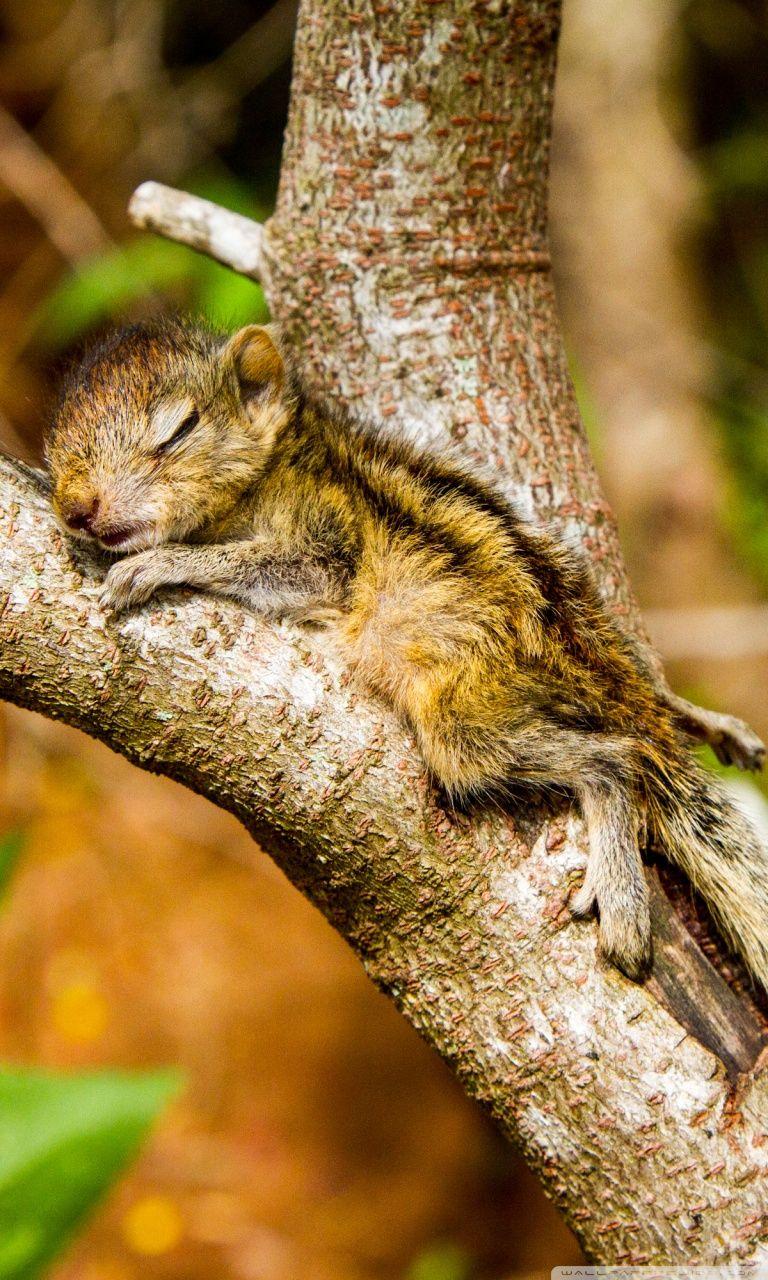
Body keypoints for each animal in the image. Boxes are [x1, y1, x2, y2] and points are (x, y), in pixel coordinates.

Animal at [46, 318, 768, 985]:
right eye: (56, 442)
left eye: (179, 430)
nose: (77, 508)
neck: (279, 463)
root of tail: (604, 679)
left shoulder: (323, 546)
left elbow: (263, 564)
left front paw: (157, 564)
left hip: (464, 725)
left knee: (616, 761)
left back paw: (622, 893)